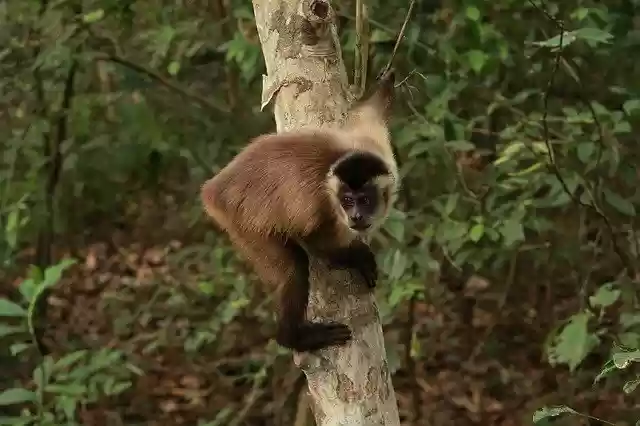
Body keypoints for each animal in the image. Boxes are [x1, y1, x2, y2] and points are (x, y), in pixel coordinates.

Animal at [200, 70, 398, 352]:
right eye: (348, 201)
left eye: (364, 200)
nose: (356, 216)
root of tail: (215, 189)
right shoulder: (324, 206)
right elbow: (314, 242)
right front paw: (358, 257)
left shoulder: (371, 141)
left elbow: (366, 112)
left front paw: (387, 82)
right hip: (242, 223)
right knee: (294, 269)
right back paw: (293, 338)